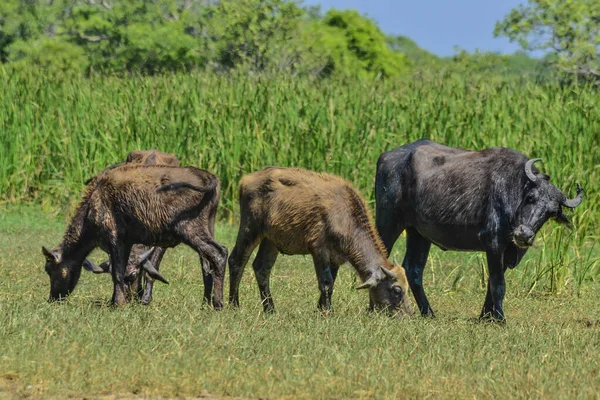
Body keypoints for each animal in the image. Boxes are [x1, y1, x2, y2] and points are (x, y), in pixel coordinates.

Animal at [42, 164, 229, 308]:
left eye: (49, 269)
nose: (53, 298)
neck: (88, 222)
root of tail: (210, 178)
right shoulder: (127, 242)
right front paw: (117, 300)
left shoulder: (116, 237)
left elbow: (117, 273)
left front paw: (118, 304)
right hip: (207, 225)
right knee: (207, 261)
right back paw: (206, 303)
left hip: (189, 227)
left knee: (219, 253)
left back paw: (218, 304)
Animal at [230, 166, 412, 316]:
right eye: (396, 290)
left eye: (407, 287)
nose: (406, 314)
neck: (345, 217)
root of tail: (246, 180)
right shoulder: (319, 250)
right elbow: (326, 282)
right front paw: (328, 312)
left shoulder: (336, 257)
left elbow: (331, 282)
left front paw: (320, 309)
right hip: (250, 229)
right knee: (236, 261)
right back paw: (234, 304)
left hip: (271, 240)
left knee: (261, 268)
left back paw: (270, 309)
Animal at [376, 139, 580, 320]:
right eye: (531, 197)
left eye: (550, 212)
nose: (524, 234)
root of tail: (387, 156)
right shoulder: (494, 244)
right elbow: (498, 283)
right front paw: (500, 318)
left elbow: (491, 283)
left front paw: (486, 316)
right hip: (388, 222)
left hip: (418, 234)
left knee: (413, 269)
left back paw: (429, 313)